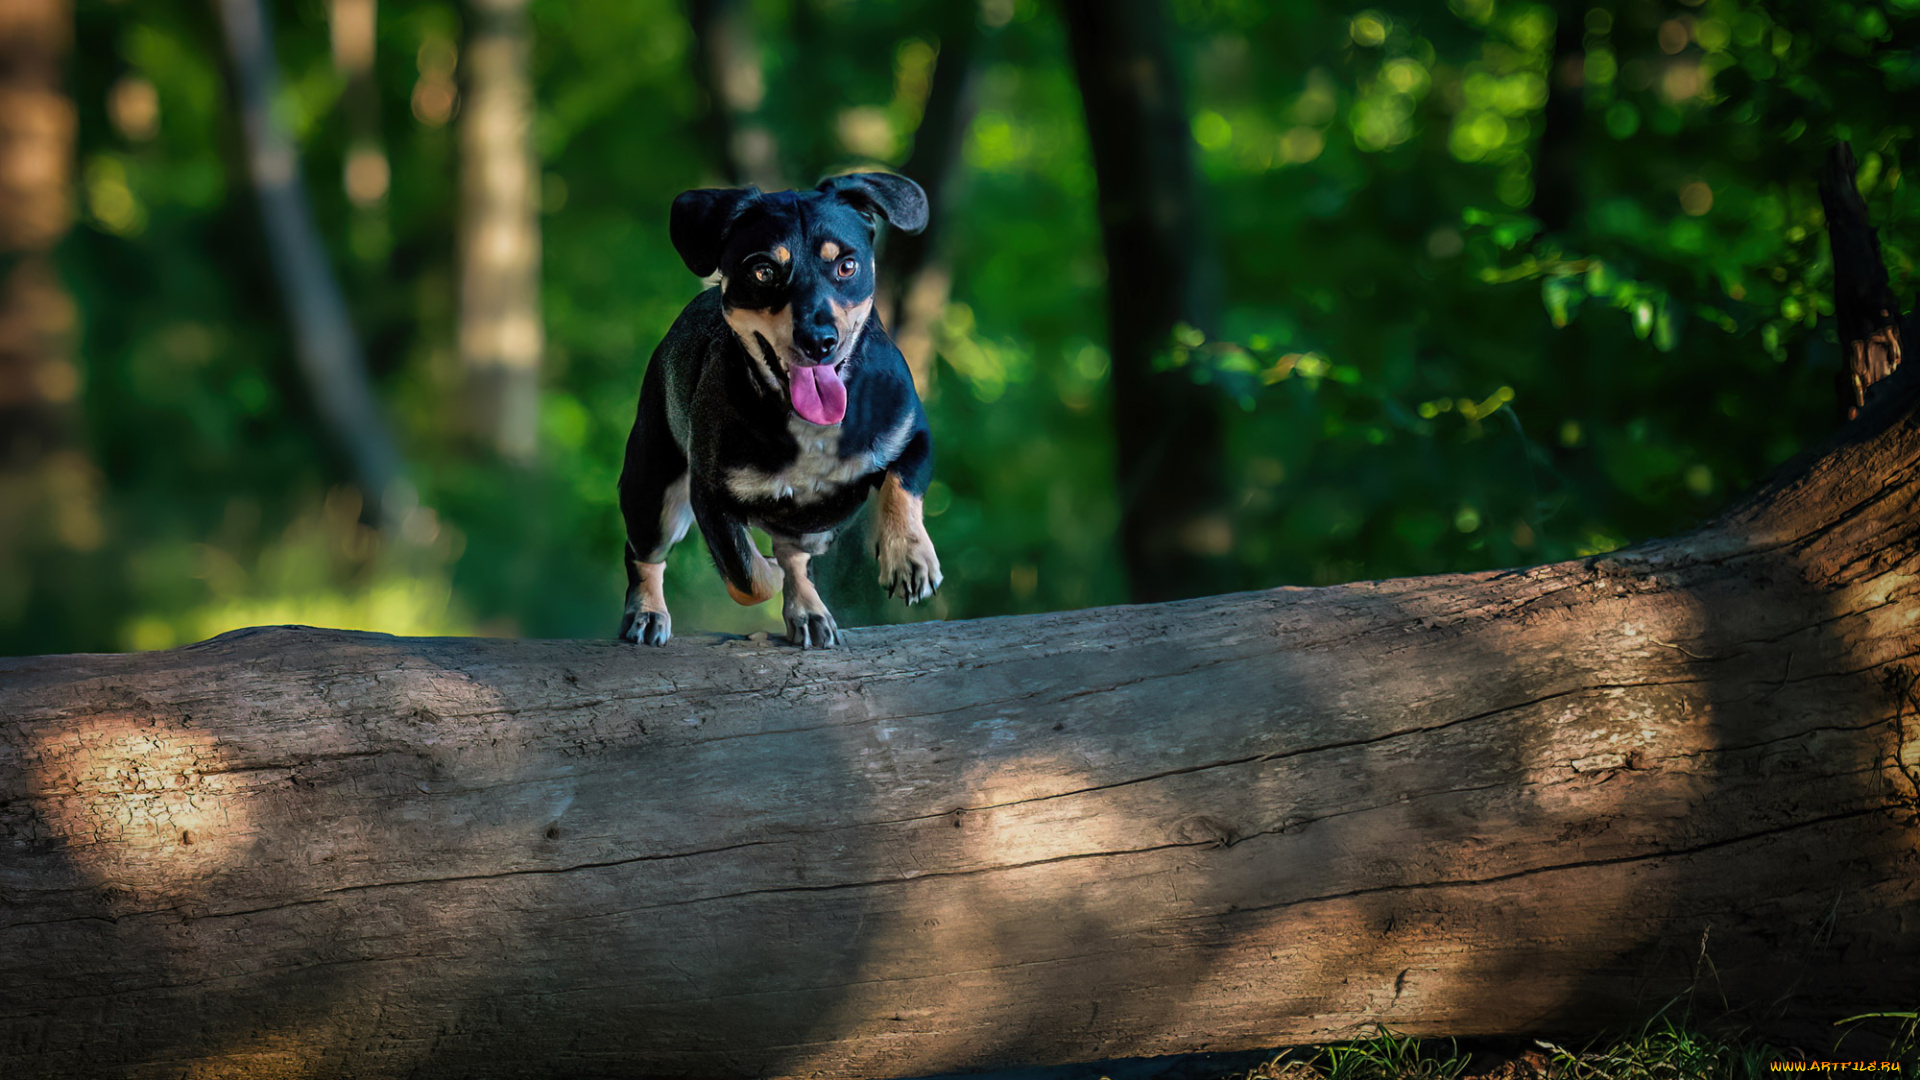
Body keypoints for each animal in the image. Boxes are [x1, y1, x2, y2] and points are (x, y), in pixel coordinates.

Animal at [618, 174, 940, 645]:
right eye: (763, 271)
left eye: (847, 266)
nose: (819, 340)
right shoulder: (710, 496)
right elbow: (748, 575)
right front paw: (769, 571)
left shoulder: (912, 434)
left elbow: (902, 484)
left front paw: (909, 558)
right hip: (652, 488)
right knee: (644, 552)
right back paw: (646, 613)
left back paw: (808, 609)